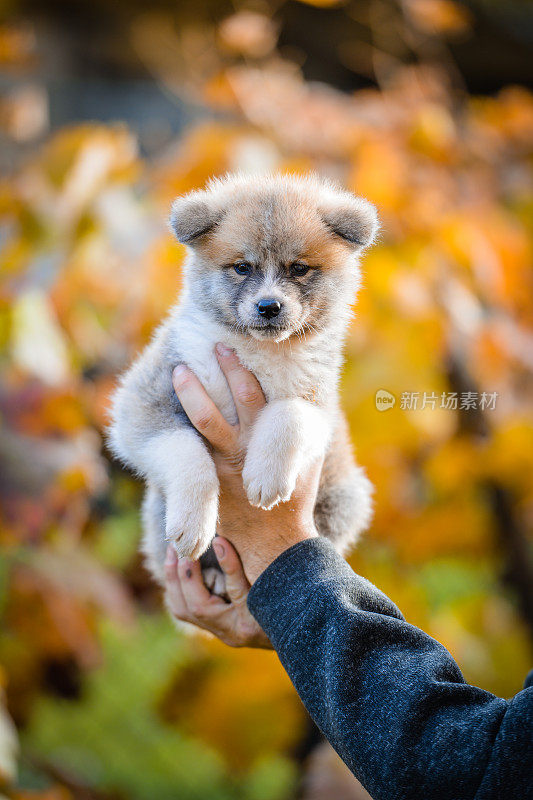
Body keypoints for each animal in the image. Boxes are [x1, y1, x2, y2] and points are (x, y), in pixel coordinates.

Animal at [107, 170, 374, 592]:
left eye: (299, 268)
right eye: (242, 267)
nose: (269, 306)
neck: (256, 351)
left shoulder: (321, 404)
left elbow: (289, 414)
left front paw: (266, 475)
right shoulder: (147, 396)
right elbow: (186, 452)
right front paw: (192, 523)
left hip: (344, 497)